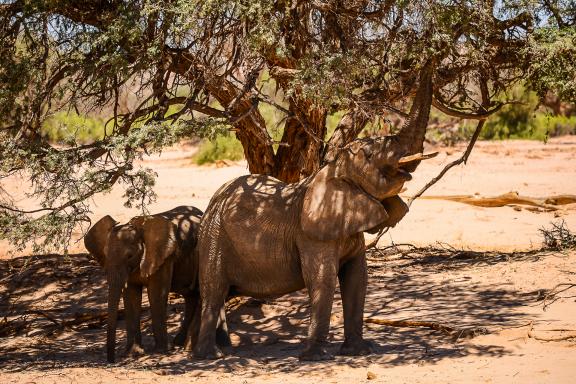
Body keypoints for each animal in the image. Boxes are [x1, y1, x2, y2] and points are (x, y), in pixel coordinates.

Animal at [85, 206, 230, 362]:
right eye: (105, 255)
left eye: (130, 256)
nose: (111, 360)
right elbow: (131, 297)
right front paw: (133, 353)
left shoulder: (164, 256)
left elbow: (156, 295)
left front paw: (160, 352)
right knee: (192, 296)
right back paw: (180, 343)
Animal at [196, 64, 434, 362]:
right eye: (369, 154)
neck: (334, 170)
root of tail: (212, 203)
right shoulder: (312, 235)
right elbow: (323, 280)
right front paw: (315, 356)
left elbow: (357, 279)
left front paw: (360, 351)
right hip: (214, 237)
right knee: (213, 292)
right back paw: (210, 356)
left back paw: (223, 350)